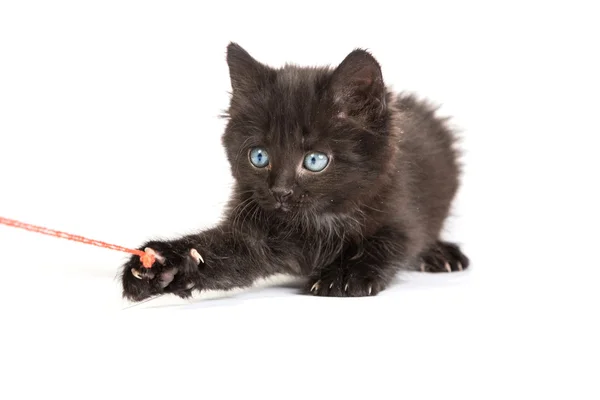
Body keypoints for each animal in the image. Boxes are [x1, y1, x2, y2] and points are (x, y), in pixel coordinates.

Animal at [120, 43, 468, 300]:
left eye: (314, 160)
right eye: (259, 156)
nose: (280, 191)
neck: (316, 224)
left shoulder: (400, 207)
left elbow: (390, 243)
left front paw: (345, 275)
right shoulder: (255, 229)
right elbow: (228, 253)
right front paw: (165, 265)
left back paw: (442, 254)